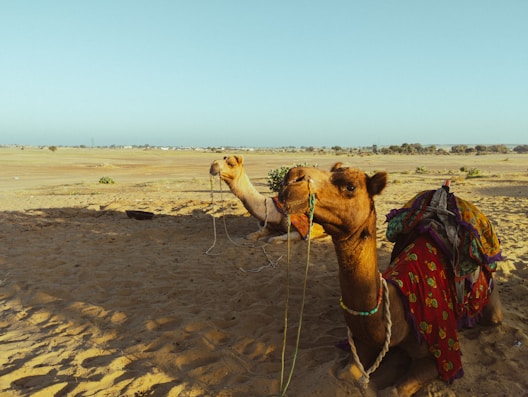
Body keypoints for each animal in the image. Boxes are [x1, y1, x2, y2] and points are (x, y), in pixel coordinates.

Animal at [278, 162, 502, 396]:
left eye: (350, 186)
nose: (292, 179)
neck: (400, 306)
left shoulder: (438, 353)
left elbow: (394, 390)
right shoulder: (362, 342)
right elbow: (344, 375)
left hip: (490, 303)